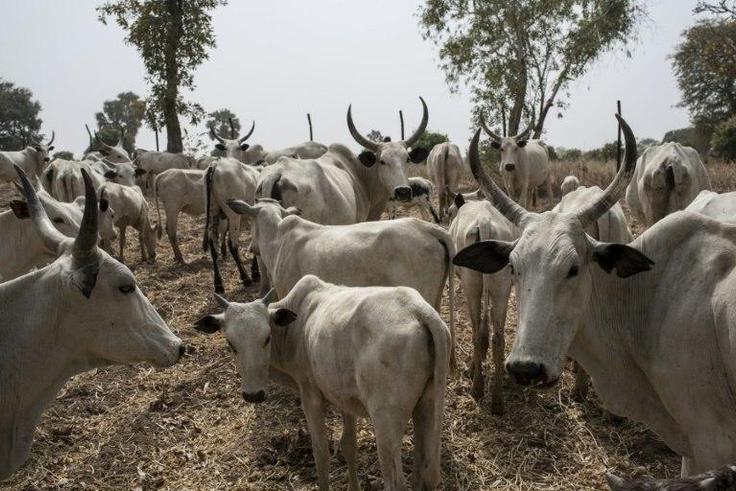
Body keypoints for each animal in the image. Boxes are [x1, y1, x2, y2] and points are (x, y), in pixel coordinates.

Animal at [194, 275, 450, 490]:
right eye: (231, 344)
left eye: (266, 338)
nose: (253, 395)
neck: (296, 328)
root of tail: (419, 310)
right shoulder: (346, 398)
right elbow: (349, 446)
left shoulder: (311, 398)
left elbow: (321, 456)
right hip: (425, 407)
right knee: (422, 471)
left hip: (386, 420)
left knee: (396, 481)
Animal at [203, 158, 260, 293]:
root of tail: (215, 165)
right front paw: (255, 272)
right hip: (234, 216)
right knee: (232, 245)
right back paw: (245, 278)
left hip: (212, 213)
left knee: (213, 248)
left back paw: (218, 284)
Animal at [449, 193, 514, 411]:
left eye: (449, 212)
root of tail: (484, 222)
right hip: (502, 287)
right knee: (498, 337)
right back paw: (498, 401)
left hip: (471, 285)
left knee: (476, 332)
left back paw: (477, 387)